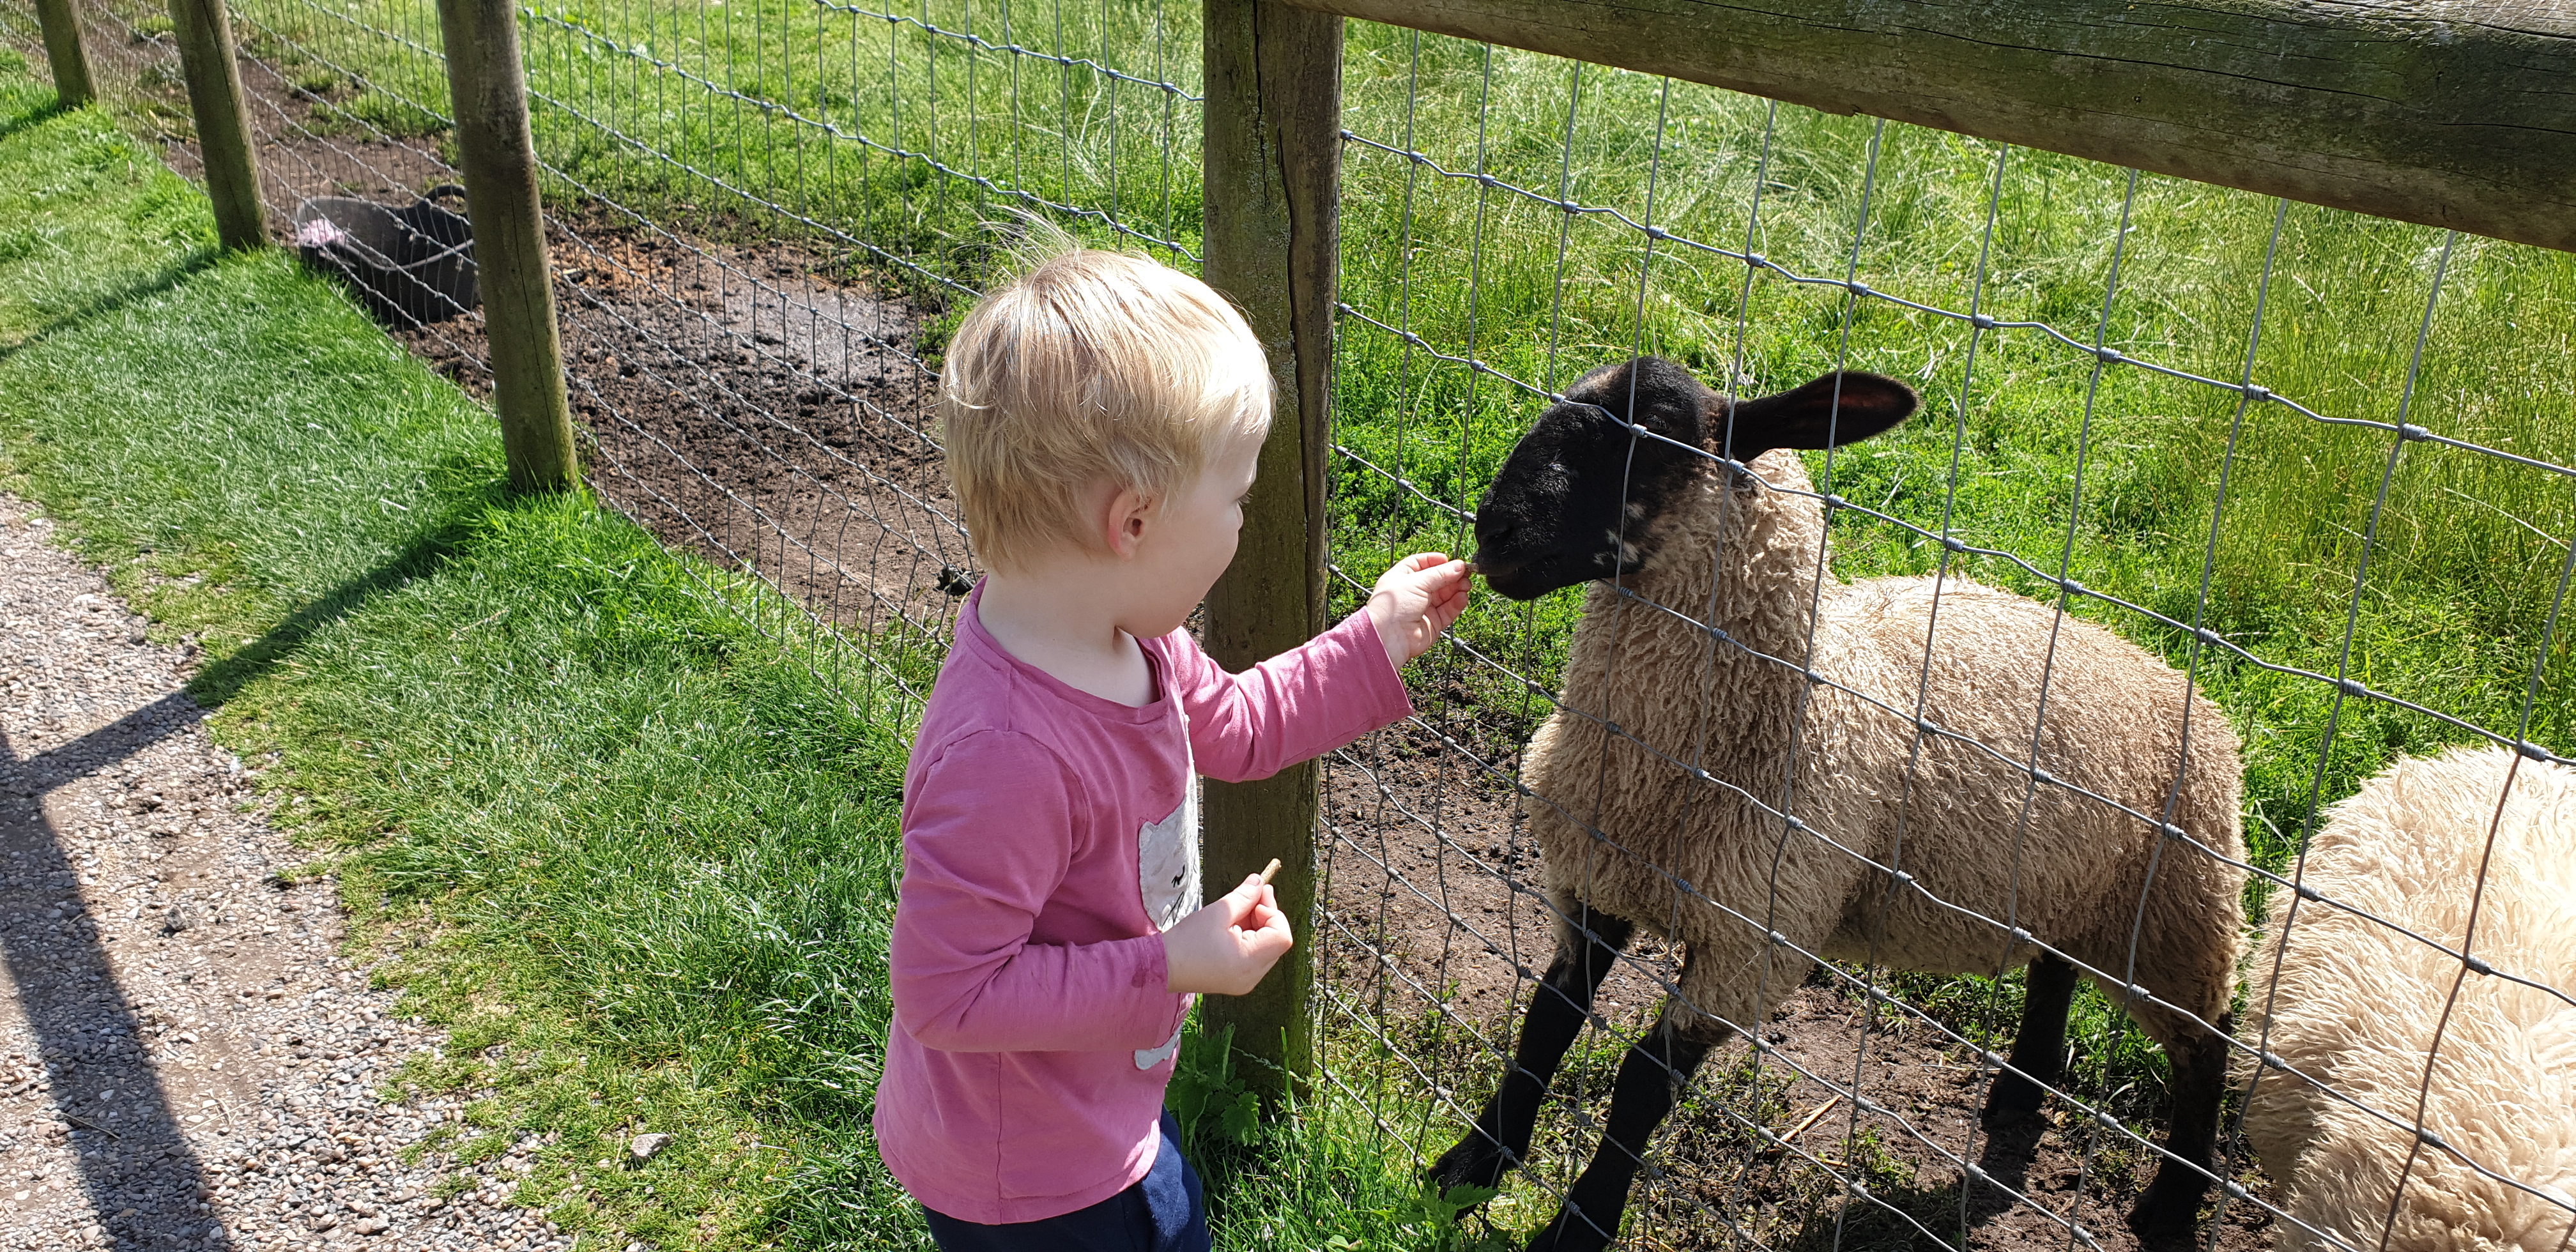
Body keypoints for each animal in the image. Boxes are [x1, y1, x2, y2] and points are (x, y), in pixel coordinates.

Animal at [1437, 357, 2248, 1251]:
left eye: (1650, 432)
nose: (1492, 530)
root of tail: (2175, 680)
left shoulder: (1757, 940)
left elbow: (1642, 1081)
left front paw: (1581, 1222)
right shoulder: (1595, 877)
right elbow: (1547, 1019)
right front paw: (1474, 1161)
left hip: (2175, 911)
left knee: (2209, 1048)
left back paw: (2172, 1203)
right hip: (2071, 886)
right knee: (2055, 968)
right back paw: (2020, 1091)